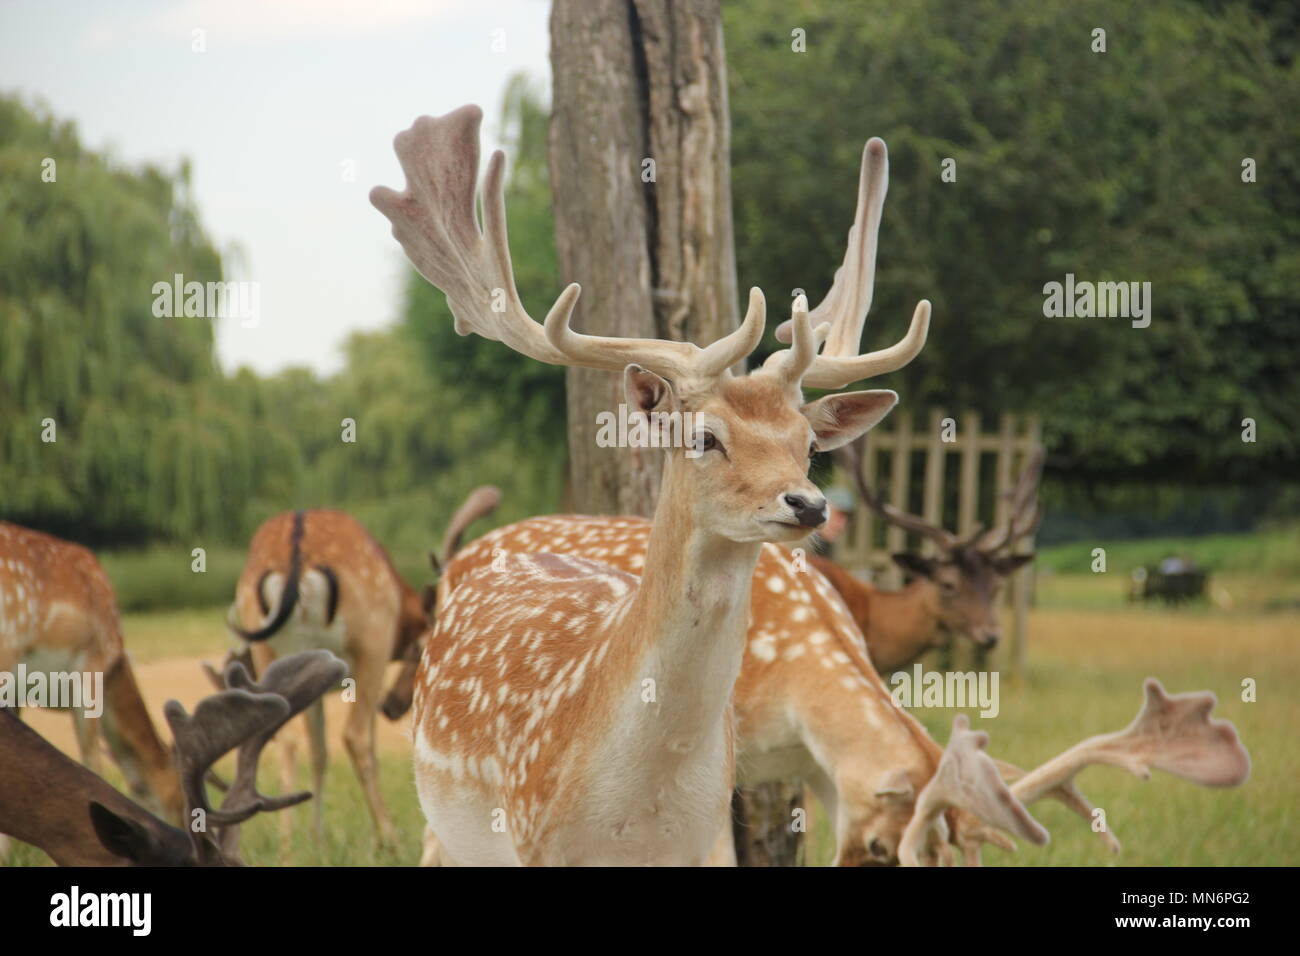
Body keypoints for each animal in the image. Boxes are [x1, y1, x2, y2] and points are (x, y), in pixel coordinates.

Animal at [226, 509, 423, 842]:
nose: (392, 706)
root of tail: (295, 559)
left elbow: (319, 752)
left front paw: (316, 837)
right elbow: (366, 745)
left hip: (272, 654)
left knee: (286, 737)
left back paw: (287, 843)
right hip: (369, 646)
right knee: (354, 735)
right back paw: (390, 839)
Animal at [371, 104, 930, 868]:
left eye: (810, 446)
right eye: (704, 437)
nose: (808, 504)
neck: (640, 802)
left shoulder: (709, 841)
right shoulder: (536, 838)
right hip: (453, 824)